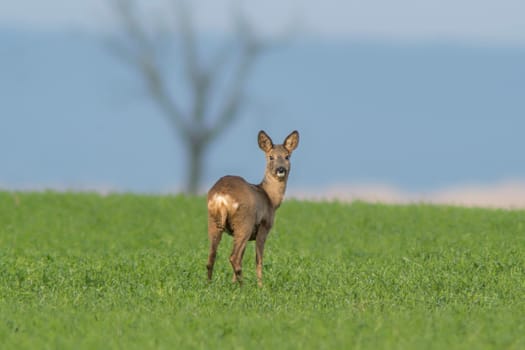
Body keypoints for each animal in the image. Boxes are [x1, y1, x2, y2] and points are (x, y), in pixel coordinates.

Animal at [207, 130, 300, 286]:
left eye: (287, 156)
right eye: (271, 157)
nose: (281, 169)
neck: (271, 199)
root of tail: (222, 197)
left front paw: (233, 283)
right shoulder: (264, 227)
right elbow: (259, 259)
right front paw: (261, 286)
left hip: (214, 222)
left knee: (212, 257)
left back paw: (210, 284)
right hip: (244, 222)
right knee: (234, 257)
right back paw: (243, 286)